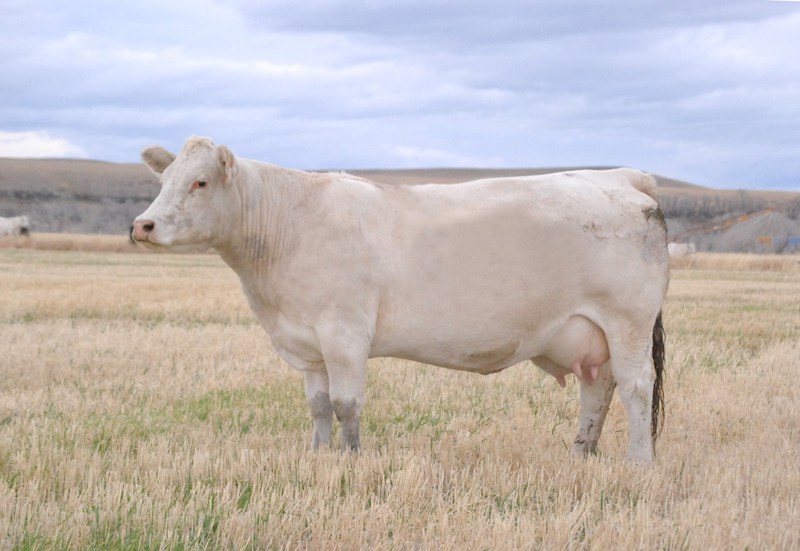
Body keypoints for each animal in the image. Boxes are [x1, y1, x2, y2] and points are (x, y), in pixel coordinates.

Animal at [134, 138, 672, 466]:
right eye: (163, 181)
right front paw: (318, 455)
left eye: (200, 182)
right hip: (585, 331)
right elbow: (318, 406)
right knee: (597, 388)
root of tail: (623, 177)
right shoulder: (308, 344)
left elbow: (347, 404)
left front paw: (351, 460)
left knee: (635, 386)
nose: (143, 225)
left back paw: (639, 462)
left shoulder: (344, 332)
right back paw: (580, 454)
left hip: (627, 321)